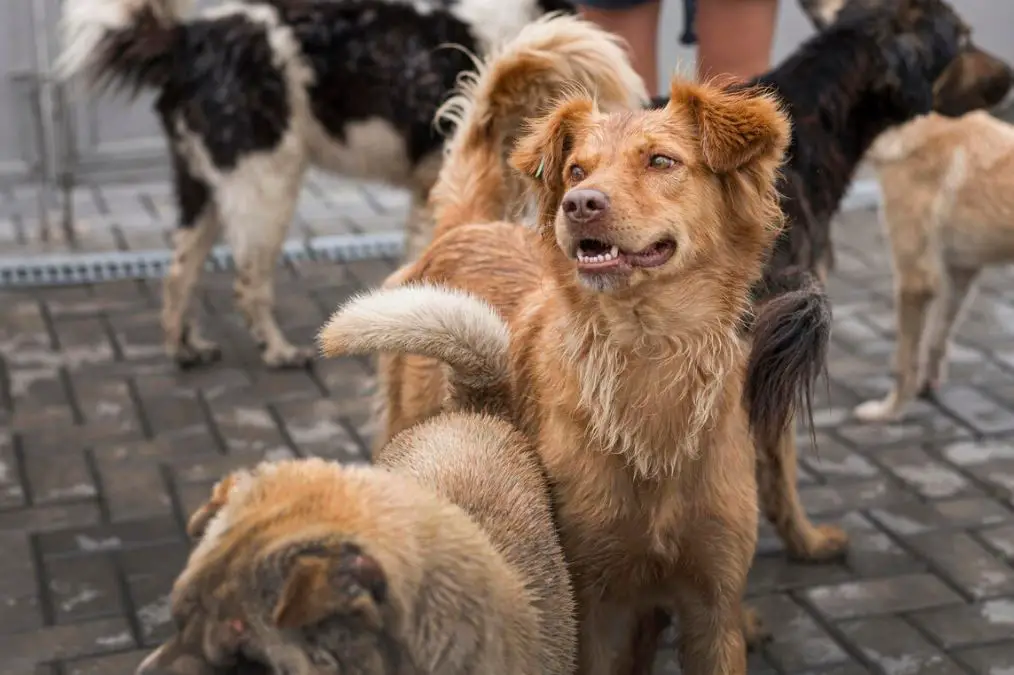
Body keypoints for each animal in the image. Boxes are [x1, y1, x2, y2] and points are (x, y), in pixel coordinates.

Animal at [59, 0, 580, 368]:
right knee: (248, 283)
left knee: (178, 273)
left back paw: (184, 348)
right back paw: (277, 351)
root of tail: (189, 40)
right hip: (266, 186)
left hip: (203, 188)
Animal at [851, 108, 1014, 421]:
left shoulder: (914, 279)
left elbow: (904, 363)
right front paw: (926, 387)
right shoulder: (960, 272)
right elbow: (938, 338)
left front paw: (889, 411)